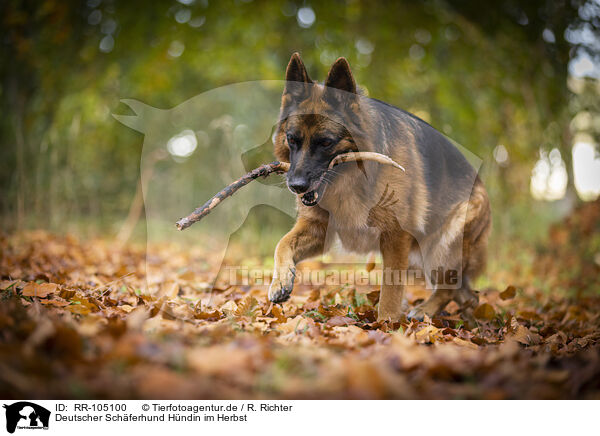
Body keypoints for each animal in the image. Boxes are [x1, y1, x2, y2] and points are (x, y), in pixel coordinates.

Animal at [270, 52, 490, 322]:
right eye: (292, 139)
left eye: (326, 142)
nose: (296, 186)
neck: (352, 178)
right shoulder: (319, 230)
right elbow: (282, 243)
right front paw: (280, 280)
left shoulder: (395, 237)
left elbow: (391, 289)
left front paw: (387, 324)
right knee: (467, 294)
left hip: (439, 250)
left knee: (449, 287)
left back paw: (424, 311)